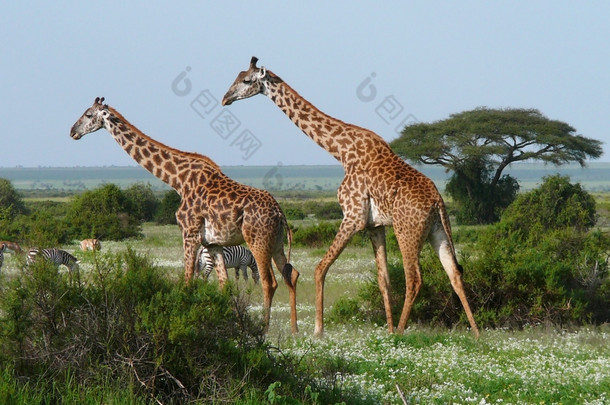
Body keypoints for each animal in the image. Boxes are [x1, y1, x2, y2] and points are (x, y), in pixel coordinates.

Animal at [69, 97, 300, 332]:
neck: (177, 180)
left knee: (269, 282)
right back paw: (294, 330)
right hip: (276, 241)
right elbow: (224, 285)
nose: (72, 132)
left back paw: (264, 329)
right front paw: (231, 324)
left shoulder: (189, 233)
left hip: (257, 240)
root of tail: (279, 212)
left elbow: (187, 282)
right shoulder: (212, 243)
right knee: (291, 274)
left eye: (88, 114)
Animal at [221, 56, 478, 338]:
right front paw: (387, 330)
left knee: (414, 278)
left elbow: (320, 268)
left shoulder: (352, 216)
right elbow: (384, 280)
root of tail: (437, 202)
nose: (225, 98)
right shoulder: (375, 225)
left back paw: (402, 331)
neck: (341, 151)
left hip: (407, 231)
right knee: (454, 273)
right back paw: (476, 334)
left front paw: (318, 331)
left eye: (247, 80)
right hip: (437, 230)